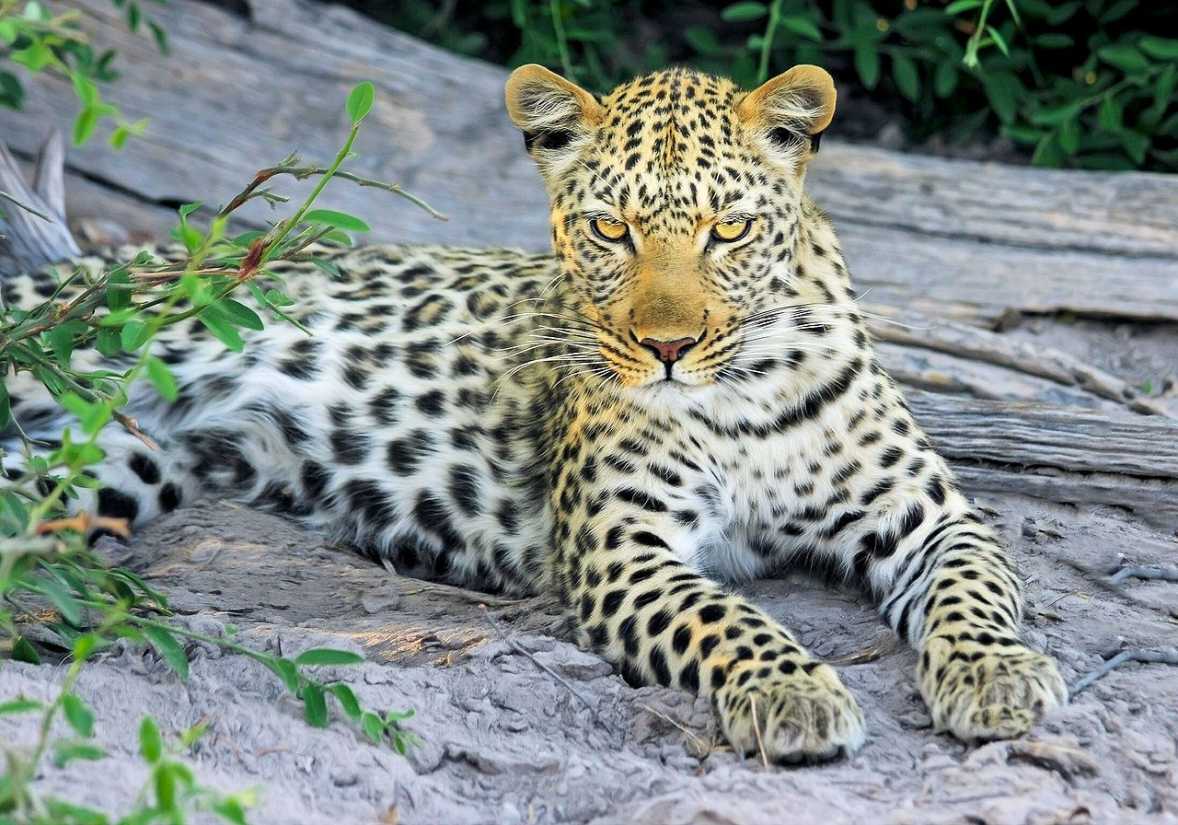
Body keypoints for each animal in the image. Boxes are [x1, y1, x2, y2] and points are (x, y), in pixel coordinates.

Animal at [1, 63, 1067, 762]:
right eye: (610, 229)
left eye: (728, 229)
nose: (668, 347)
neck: (743, 389)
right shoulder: (623, 549)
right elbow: (727, 615)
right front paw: (791, 689)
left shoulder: (930, 514)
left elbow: (975, 588)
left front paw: (999, 676)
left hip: (107, 467)